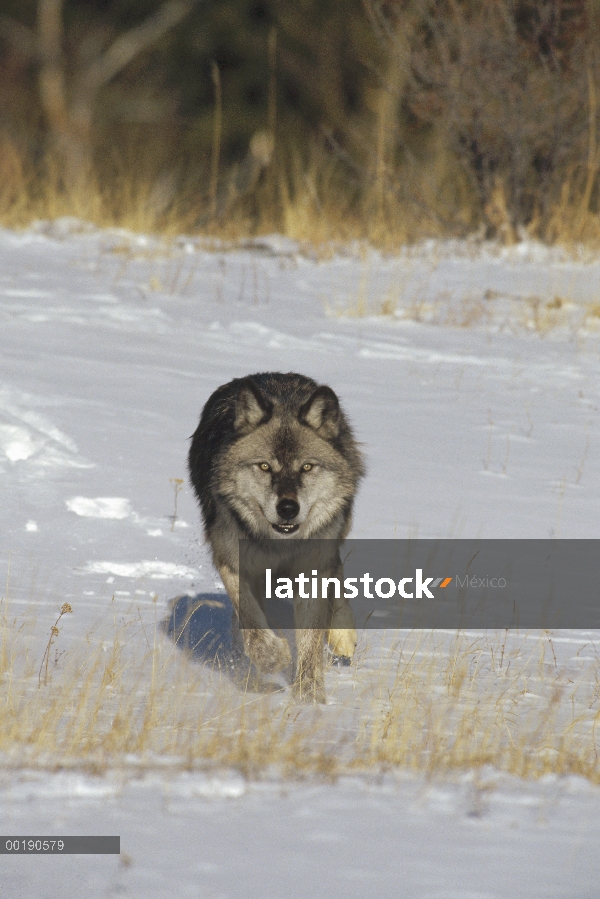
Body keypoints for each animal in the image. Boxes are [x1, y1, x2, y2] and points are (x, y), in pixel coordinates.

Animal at [190, 372, 364, 704]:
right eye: (264, 466)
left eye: (307, 467)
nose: (287, 508)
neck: (280, 545)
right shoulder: (233, 561)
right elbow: (251, 620)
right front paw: (273, 657)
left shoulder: (312, 569)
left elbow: (310, 641)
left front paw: (310, 697)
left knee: (337, 576)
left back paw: (344, 636)